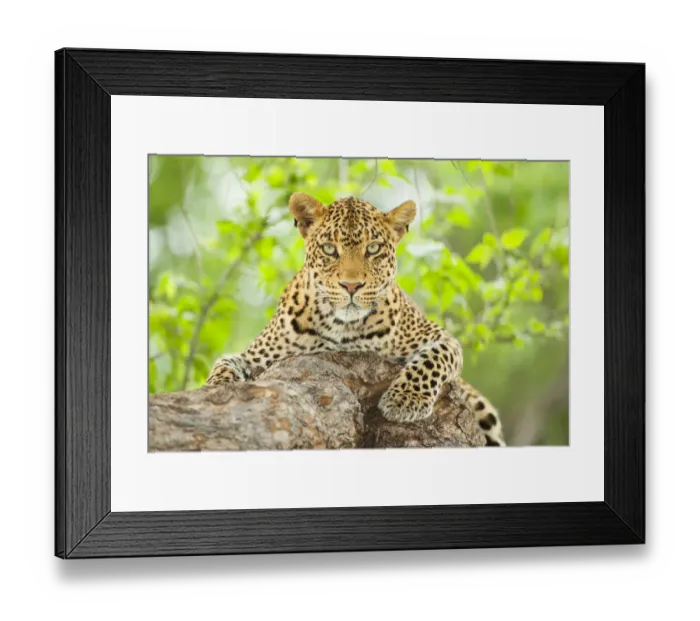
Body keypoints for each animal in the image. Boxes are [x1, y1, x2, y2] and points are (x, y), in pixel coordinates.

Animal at [206, 192, 506, 446]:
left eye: (373, 249)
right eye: (329, 248)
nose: (351, 286)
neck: (341, 327)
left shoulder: (438, 336)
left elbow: (434, 358)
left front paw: (405, 399)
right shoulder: (255, 354)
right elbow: (223, 366)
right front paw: (215, 390)